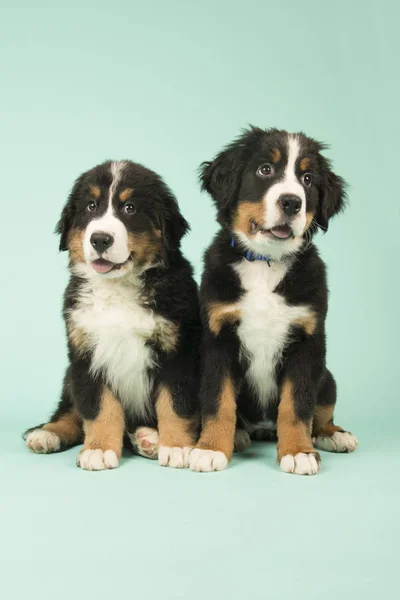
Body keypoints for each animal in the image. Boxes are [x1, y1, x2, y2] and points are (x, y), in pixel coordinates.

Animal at [22, 162, 200, 472]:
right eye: (91, 206)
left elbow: (174, 403)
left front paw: (176, 446)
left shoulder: (178, 351)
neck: (118, 288)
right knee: (69, 411)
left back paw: (149, 439)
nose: (100, 239)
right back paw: (47, 433)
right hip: (70, 376)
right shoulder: (86, 354)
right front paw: (99, 449)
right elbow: (98, 407)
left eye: (130, 208)